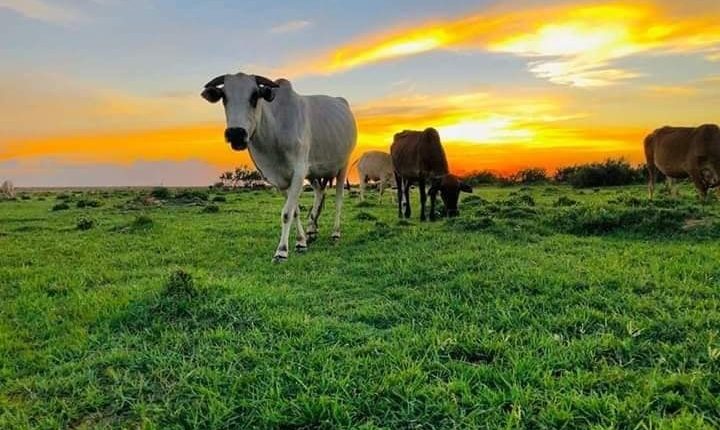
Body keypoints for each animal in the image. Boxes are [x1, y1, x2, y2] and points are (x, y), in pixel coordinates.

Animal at [201, 73, 358, 262]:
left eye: (255, 96)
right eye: (224, 97)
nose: (236, 134)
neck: (274, 131)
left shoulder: (298, 172)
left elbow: (286, 213)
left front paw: (282, 251)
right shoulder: (279, 179)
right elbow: (295, 211)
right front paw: (301, 242)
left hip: (343, 165)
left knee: (338, 201)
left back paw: (335, 233)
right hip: (315, 173)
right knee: (320, 193)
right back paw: (312, 230)